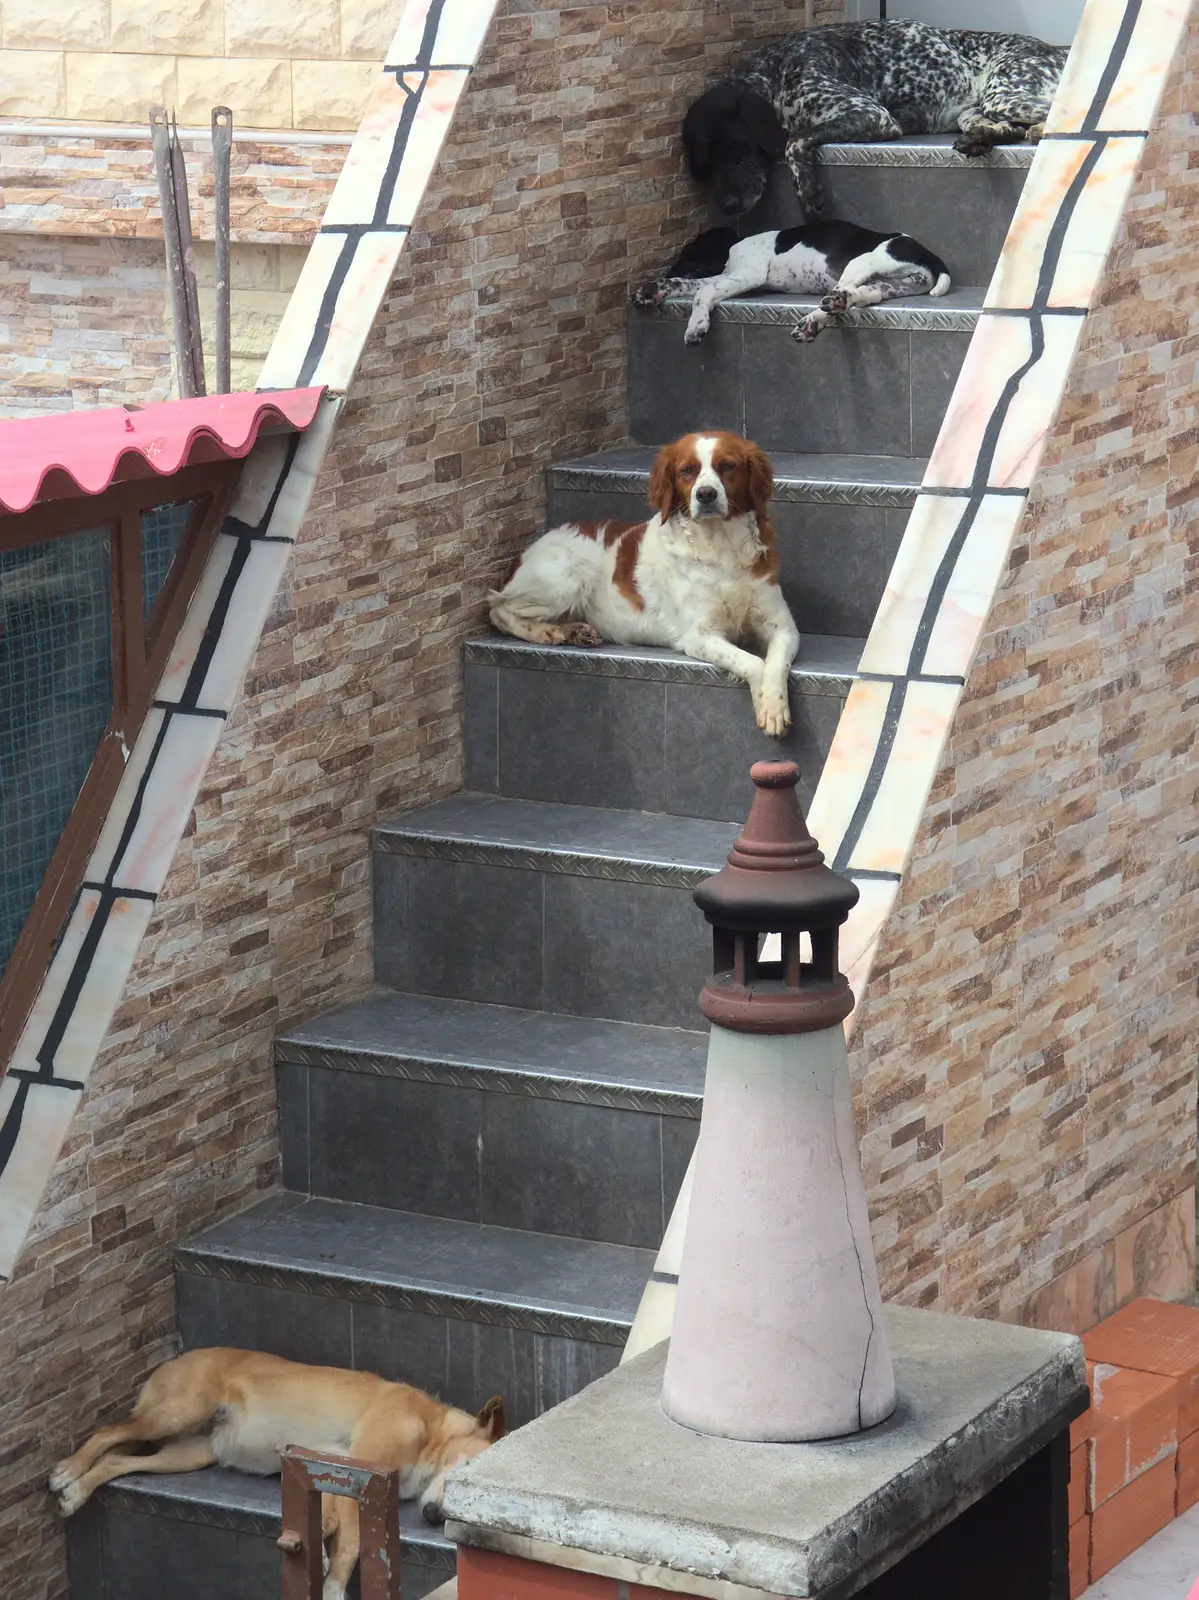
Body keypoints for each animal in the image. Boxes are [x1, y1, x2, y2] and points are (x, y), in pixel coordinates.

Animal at [48, 1350, 499, 1600]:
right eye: (468, 1472)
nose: (435, 1517)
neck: (430, 1430)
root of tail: (174, 1359)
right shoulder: (362, 1473)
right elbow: (354, 1540)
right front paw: (334, 1585)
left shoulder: (333, 1475)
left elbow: (331, 1522)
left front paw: (318, 1552)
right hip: (177, 1411)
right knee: (107, 1433)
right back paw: (68, 1470)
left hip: (189, 1453)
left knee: (115, 1462)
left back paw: (77, 1491)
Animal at [630, 220, 947, 345]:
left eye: (688, 251)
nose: (665, 268)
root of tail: (930, 255)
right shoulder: (732, 276)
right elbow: (688, 285)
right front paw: (653, 289)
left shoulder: (748, 274)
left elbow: (703, 290)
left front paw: (696, 328)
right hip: (888, 284)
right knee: (857, 296)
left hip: (862, 262)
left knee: (838, 295)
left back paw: (812, 322)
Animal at [681, 19, 1069, 219]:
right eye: (705, 165)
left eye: (735, 148)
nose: (726, 207)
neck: (775, 74)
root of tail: (1059, 49)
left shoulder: (872, 115)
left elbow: (794, 141)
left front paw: (808, 192)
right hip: (977, 111)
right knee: (1003, 130)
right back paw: (982, 141)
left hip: (1004, 94)